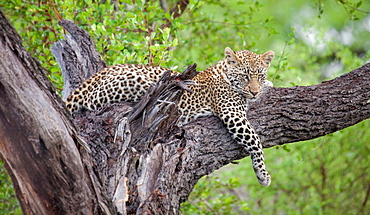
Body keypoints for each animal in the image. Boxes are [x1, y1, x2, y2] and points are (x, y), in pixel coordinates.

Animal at [66, 47, 274, 186]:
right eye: (245, 76)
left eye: (259, 76)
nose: (254, 92)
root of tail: (103, 72)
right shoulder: (232, 113)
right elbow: (255, 140)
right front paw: (263, 174)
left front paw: (267, 85)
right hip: (137, 82)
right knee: (93, 100)